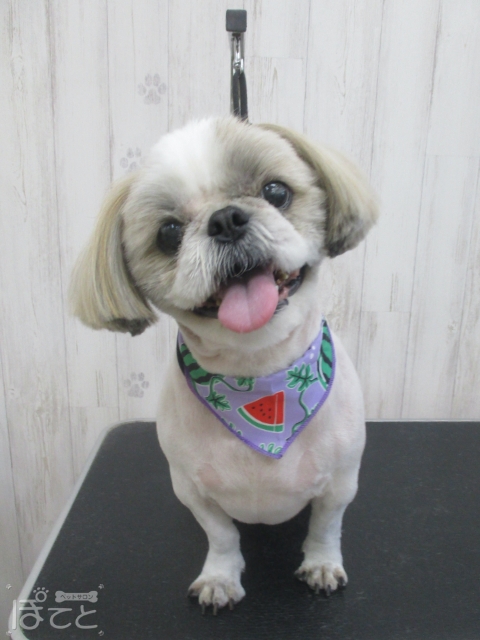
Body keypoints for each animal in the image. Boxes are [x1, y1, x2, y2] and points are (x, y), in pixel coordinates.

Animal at [70, 116, 378, 613]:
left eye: (276, 191)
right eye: (168, 233)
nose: (225, 219)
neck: (257, 375)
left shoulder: (340, 483)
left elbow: (325, 528)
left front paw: (321, 565)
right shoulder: (192, 489)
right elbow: (222, 537)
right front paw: (220, 578)